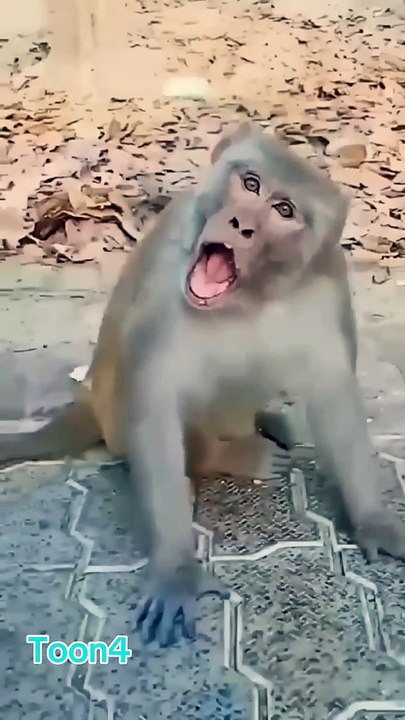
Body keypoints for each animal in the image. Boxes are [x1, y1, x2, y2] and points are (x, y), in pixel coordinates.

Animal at [1, 122, 405, 648]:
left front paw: (373, 520)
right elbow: (154, 402)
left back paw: (268, 421)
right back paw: (228, 455)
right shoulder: (165, 272)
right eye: (250, 184)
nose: (241, 225)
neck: (247, 297)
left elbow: (334, 390)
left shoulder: (326, 283)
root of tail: (89, 398)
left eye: (284, 210)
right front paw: (176, 569)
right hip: (118, 416)